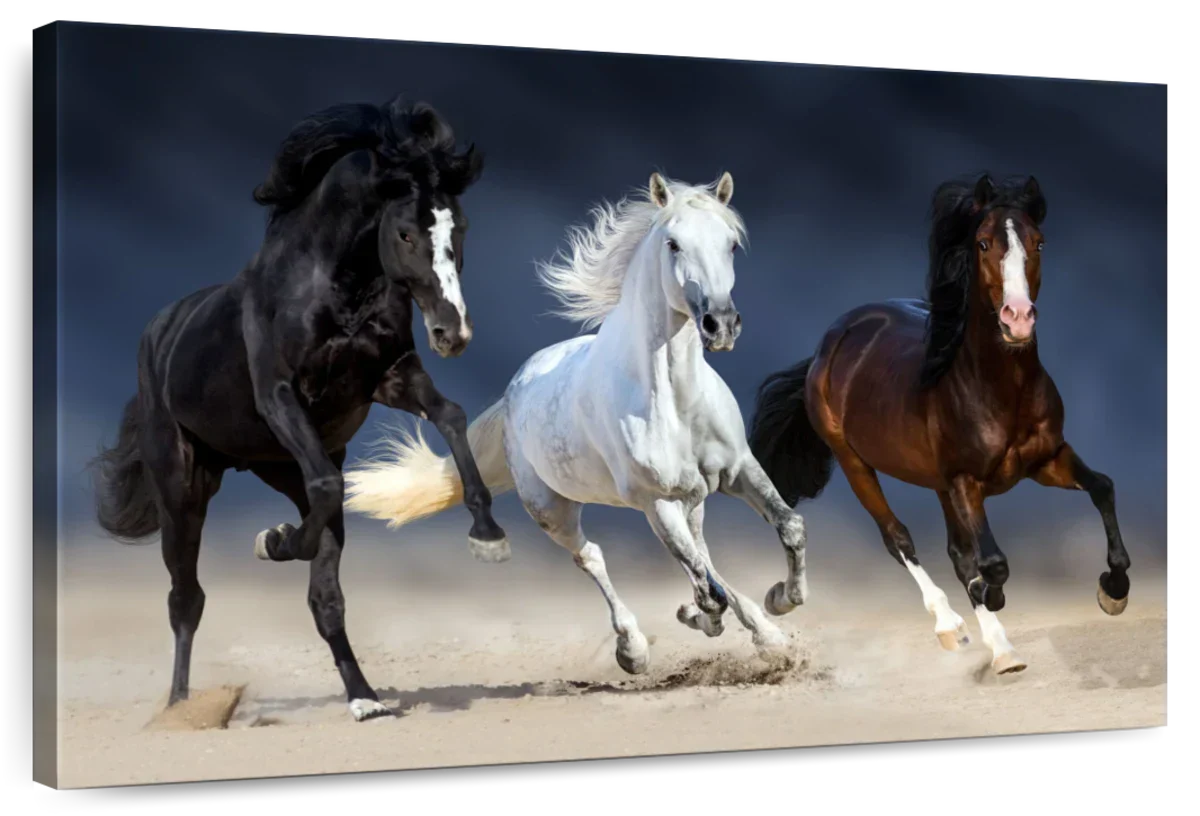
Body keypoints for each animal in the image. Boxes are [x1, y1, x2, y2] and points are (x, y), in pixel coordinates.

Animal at [89, 94, 509, 722]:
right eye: (406, 233)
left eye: (459, 228)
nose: (452, 333)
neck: (335, 288)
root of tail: (159, 332)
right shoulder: (281, 396)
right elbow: (327, 492)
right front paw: (274, 540)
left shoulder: (391, 376)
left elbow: (452, 415)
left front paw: (488, 533)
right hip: (184, 489)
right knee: (187, 598)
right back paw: (181, 708)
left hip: (279, 467)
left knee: (324, 592)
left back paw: (364, 699)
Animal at [343, 172, 811, 673]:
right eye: (673, 244)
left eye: (731, 244)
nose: (720, 324)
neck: (675, 401)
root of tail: (513, 391)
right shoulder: (657, 501)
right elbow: (707, 588)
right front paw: (706, 616)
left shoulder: (738, 469)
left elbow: (788, 527)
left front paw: (781, 600)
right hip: (554, 511)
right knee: (593, 558)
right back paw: (634, 649)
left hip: (692, 501)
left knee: (701, 555)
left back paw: (765, 634)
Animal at [747, 173, 1132, 675]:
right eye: (983, 243)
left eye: (1039, 242)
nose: (1018, 319)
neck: (999, 389)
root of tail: (829, 343)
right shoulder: (966, 481)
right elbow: (993, 562)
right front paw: (991, 597)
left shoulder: (1048, 460)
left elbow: (1102, 488)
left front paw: (1114, 590)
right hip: (856, 464)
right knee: (900, 540)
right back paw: (956, 628)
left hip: (937, 483)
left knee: (955, 552)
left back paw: (1000, 644)